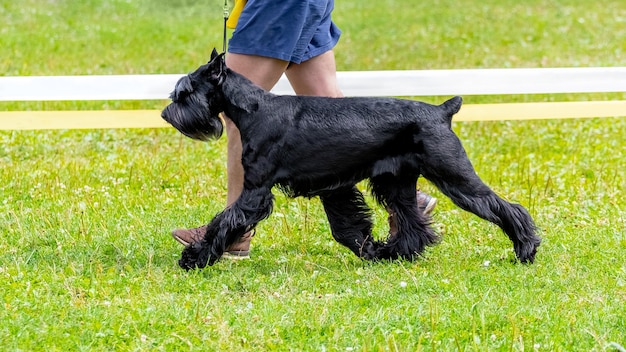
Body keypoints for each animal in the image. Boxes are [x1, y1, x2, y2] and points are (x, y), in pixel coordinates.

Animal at [163, 49, 540, 270]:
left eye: (185, 93)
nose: (167, 114)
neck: (254, 110)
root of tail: (442, 111)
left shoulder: (256, 191)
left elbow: (226, 220)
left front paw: (195, 257)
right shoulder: (333, 186)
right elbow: (347, 225)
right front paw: (370, 249)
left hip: (454, 175)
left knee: (506, 207)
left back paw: (526, 250)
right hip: (396, 182)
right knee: (412, 223)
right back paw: (393, 254)